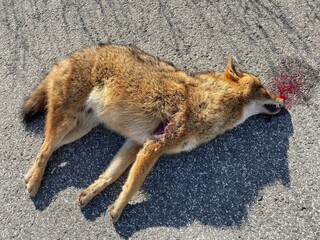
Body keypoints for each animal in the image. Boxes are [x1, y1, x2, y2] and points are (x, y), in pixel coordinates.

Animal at [21, 43, 282, 221]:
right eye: (263, 88)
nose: (282, 100)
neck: (206, 102)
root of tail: (70, 56)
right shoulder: (155, 145)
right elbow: (133, 184)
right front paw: (117, 211)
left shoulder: (136, 143)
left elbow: (111, 176)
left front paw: (90, 194)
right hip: (67, 123)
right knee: (45, 148)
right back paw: (34, 182)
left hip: (79, 130)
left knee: (47, 147)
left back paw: (29, 176)